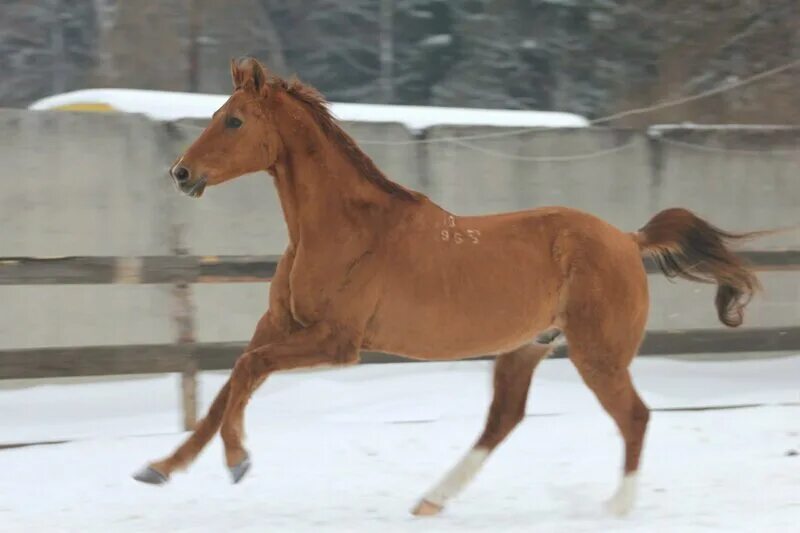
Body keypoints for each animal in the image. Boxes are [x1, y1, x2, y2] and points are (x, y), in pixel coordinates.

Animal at [136, 57, 764, 516]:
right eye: (219, 113)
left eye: (234, 121)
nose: (180, 173)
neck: (345, 229)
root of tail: (628, 240)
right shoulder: (279, 325)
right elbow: (228, 387)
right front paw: (159, 469)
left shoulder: (337, 341)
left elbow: (246, 371)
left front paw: (237, 460)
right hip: (525, 349)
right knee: (502, 421)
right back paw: (430, 501)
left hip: (598, 353)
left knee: (634, 417)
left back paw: (615, 510)